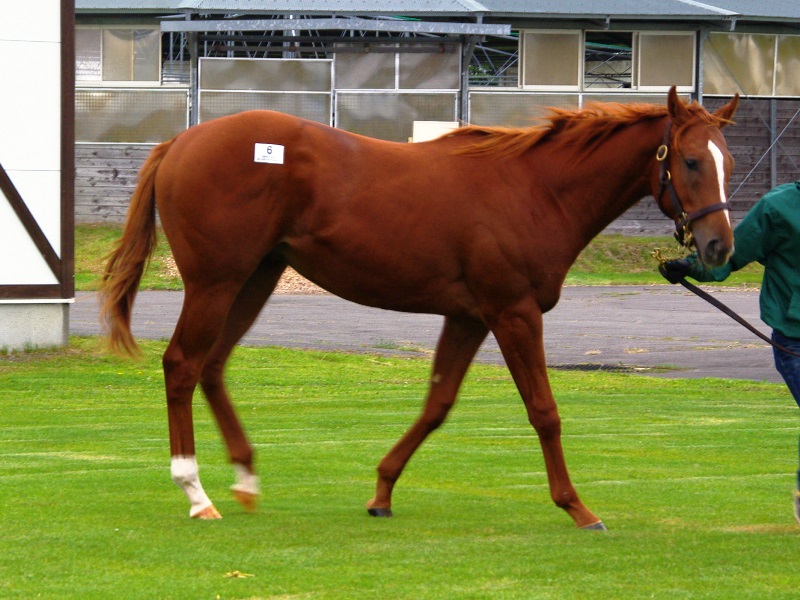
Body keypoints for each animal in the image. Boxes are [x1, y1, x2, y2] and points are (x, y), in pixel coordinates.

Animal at [103, 86, 740, 528]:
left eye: (726, 161)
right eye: (689, 161)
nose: (718, 247)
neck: (535, 188)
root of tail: (181, 141)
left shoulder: (469, 317)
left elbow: (437, 404)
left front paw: (383, 491)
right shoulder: (513, 313)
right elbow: (544, 411)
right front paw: (577, 507)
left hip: (254, 279)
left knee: (212, 367)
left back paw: (245, 479)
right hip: (216, 282)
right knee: (182, 365)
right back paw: (196, 492)